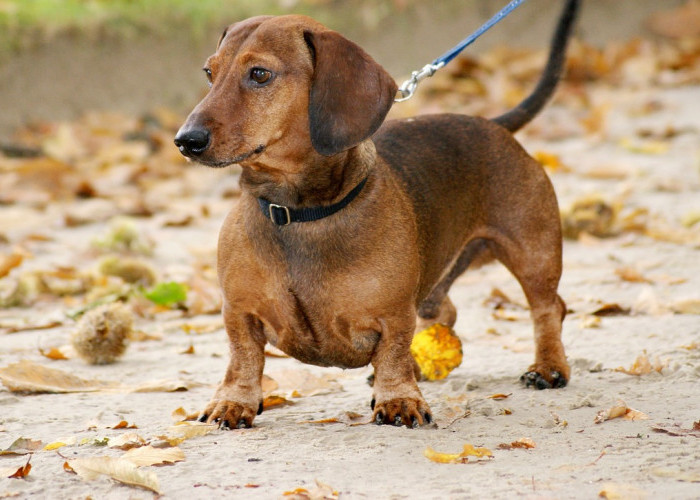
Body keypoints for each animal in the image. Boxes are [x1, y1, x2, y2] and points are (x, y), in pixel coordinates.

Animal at [175, 0, 580, 430]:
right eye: (209, 72)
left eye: (259, 74)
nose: (185, 141)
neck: (298, 213)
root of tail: (493, 124)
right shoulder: (239, 312)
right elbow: (243, 359)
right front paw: (233, 402)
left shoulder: (394, 314)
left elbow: (393, 353)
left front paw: (399, 398)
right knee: (445, 311)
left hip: (533, 252)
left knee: (548, 308)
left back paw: (549, 367)